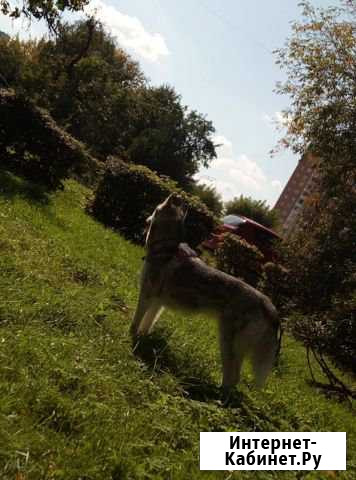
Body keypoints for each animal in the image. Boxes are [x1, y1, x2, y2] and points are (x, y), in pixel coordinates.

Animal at [129, 194, 280, 398]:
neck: (165, 249)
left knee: (233, 376)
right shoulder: (157, 303)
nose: (176, 195)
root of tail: (269, 305)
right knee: (235, 378)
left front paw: (131, 336)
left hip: (227, 341)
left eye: (155, 208)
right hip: (235, 346)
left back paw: (215, 394)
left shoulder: (146, 295)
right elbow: (147, 323)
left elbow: (136, 321)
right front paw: (142, 338)